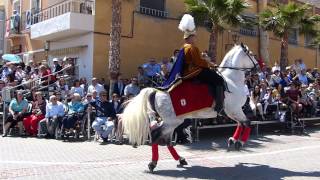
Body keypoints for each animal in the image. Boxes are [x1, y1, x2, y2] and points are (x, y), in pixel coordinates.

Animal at [121, 44, 258, 172]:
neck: (231, 81)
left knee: (167, 140)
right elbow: (247, 122)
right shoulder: (235, 110)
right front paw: (239, 142)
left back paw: (180, 160)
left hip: (171, 122)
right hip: (172, 121)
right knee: (156, 135)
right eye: (251, 54)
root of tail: (156, 91)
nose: (258, 66)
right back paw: (153, 163)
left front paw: (233, 140)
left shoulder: (231, 112)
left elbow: (241, 123)